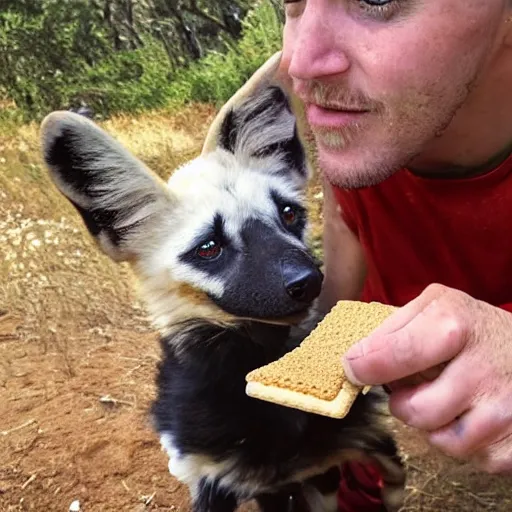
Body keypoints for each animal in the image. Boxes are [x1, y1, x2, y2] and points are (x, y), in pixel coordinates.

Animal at [40, 55, 406, 512]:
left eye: (289, 214)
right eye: (208, 247)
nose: (306, 281)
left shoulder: (340, 448)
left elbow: (390, 469)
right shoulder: (211, 475)